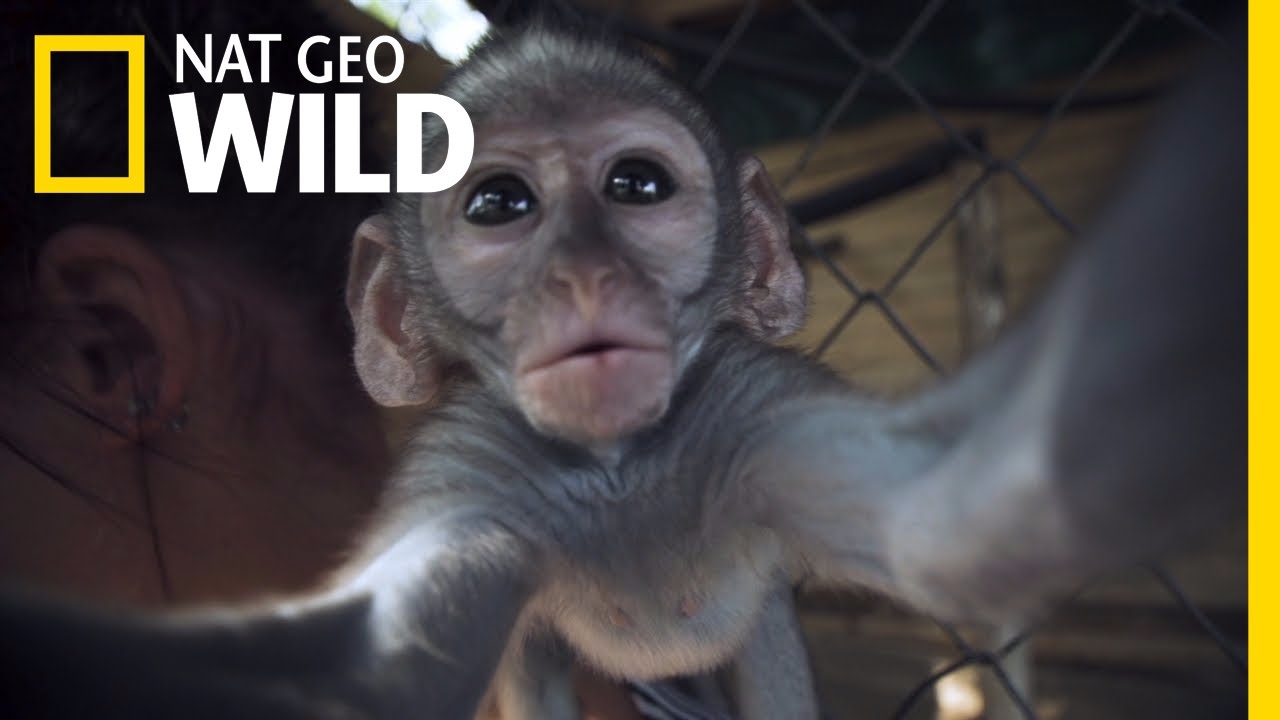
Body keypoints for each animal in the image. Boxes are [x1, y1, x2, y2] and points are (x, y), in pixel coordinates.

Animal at [0, 19, 1245, 720]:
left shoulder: (751, 409)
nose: (584, 278)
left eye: (636, 186)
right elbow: (360, 667)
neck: (616, 469)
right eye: (499, 204)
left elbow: (972, 505)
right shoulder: (469, 481)